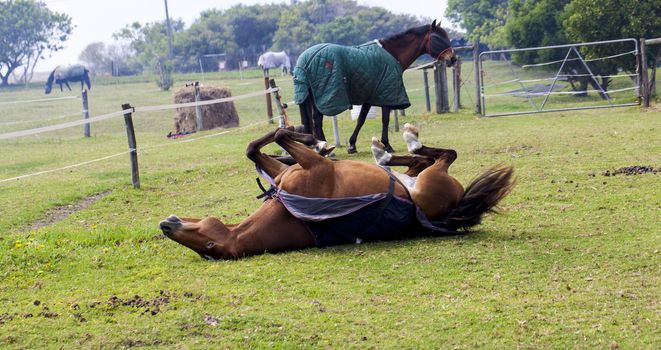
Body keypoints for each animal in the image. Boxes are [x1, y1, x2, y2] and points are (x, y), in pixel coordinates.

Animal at [161, 123, 516, 260]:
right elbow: (277, 136)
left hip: (419, 176)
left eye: (200, 238)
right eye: (204, 246)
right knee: (440, 156)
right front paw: (314, 139)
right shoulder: (315, 168)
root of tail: (455, 206)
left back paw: (387, 151)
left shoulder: (292, 172)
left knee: (422, 159)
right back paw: (397, 146)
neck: (291, 213)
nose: (165, 225)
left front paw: (313, 139)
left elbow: (256, 147)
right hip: (432, 179)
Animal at [296, 19, 456, 154]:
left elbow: (361, 119)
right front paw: (387, 145)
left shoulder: (371, 96)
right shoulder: (386, 96)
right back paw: (326, 148)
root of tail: (306, 60)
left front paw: (352, 145)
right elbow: (385, 120)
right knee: (317, 120)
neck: (392, 53)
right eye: (438, 38)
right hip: (322, 97)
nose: (453, 59)